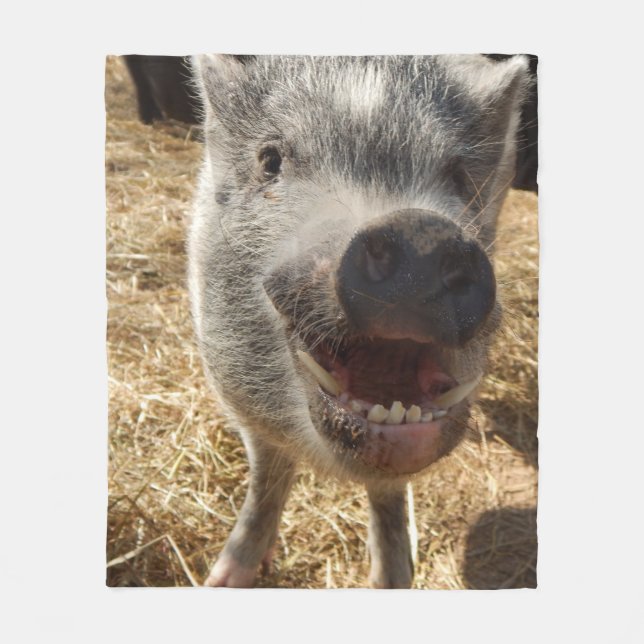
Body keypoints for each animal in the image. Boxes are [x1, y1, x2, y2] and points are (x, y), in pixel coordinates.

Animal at [188, 55, 531, 588]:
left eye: (458, 176)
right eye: (270, 160)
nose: (419, 231)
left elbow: (388, 497)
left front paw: (392, 578)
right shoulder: (239, 404)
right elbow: (267, 477)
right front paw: (222, 581)